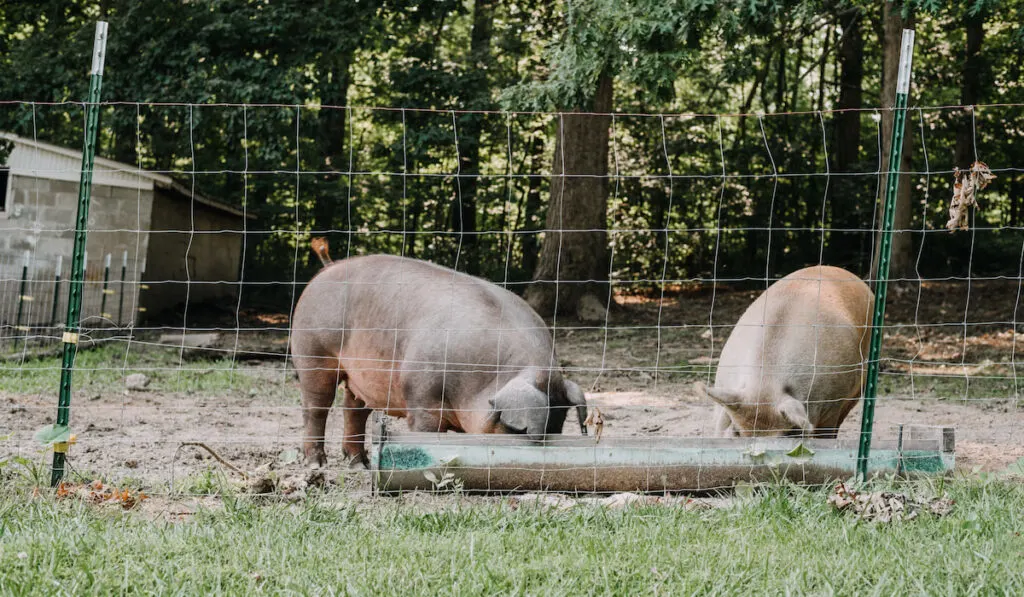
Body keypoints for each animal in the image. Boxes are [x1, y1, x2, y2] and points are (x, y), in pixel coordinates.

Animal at [292, 246, 589, 466]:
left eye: (558, 426)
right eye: (519, 430)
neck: (483, 379)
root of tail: (328, 269)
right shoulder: (421, 393)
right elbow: (427, 430)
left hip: (362, 375)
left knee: (353, 408)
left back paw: (359, 464)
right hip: (312, 351)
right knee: (316, 407)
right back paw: (316, 464)